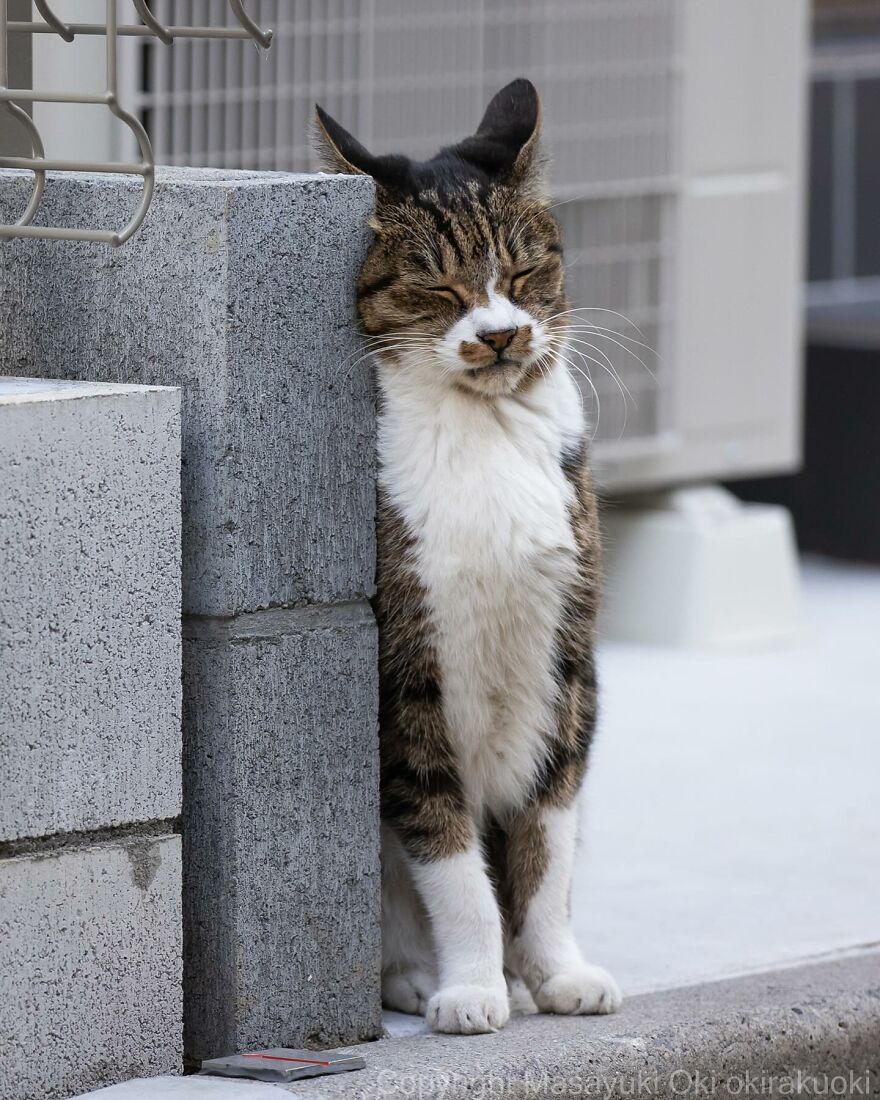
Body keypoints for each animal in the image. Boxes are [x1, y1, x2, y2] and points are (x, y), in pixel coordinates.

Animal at [316, 81, 620, 1034]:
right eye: (438, 285)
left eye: (520, 275)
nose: (500, 334)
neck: (485, 434)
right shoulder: (404, 679)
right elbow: (452, 863)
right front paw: (473, 989)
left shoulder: (566, 666)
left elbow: (546, 846)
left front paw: (556, 972)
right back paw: (418, 979)